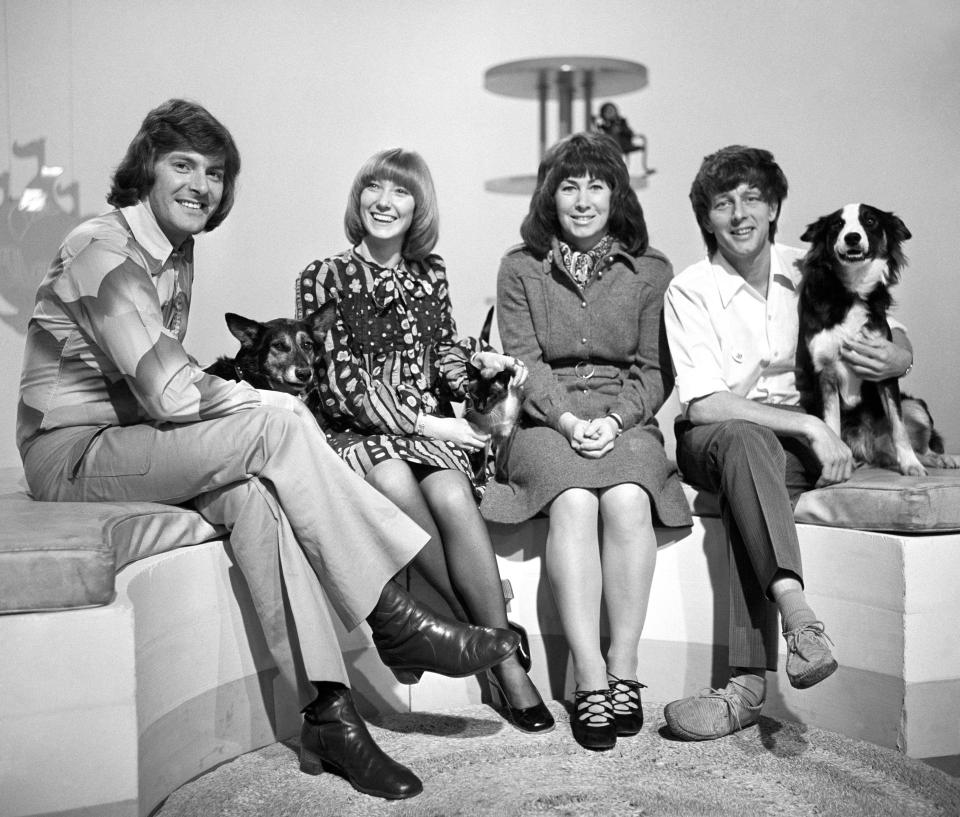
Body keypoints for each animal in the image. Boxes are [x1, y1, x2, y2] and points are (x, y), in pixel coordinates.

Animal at [796, 201, 952, 474]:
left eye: (870, 221)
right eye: (837, 224)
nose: (852, 237)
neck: (851, 291)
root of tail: (870, 449)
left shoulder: (885, 371)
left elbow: (898, 427)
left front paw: (910, 465)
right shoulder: (824, 373)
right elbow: (831, 428)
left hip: (916, 406)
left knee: (921, 447)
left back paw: (936, 459)